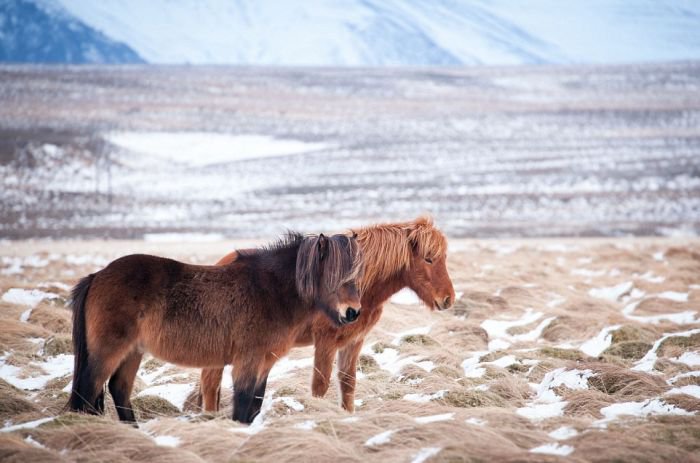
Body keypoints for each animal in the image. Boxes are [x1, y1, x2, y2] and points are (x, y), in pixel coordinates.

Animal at [67, 232, 364, 424]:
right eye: (334, 276)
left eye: (356, 276)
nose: (353, 312)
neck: (270, 291)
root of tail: (97, 276)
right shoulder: (247, 362)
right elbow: (242, 406)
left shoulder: (264, 364)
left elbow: (254, 406)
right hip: (109, 350)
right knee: (88, 388)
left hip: (132, 351)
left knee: (119, 388)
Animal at [200, 218, 456, 414]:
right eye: (428, 258)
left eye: (444, 258)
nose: (448, 299)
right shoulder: (326, 342)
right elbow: (320, 386)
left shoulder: (354, 342)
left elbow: (348, 383)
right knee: (210, 382)